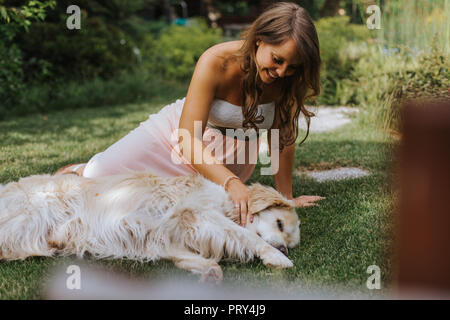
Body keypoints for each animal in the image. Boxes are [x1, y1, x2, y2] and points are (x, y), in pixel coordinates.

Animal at [0, 172, 302, 282]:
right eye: (278, 223)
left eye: (291, 239)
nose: (285, 248)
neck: (226, 202)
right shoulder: (198, 214)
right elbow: (247, 237)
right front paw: (277, 258)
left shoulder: (162, 239)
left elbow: (196, 259)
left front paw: (208, 273)